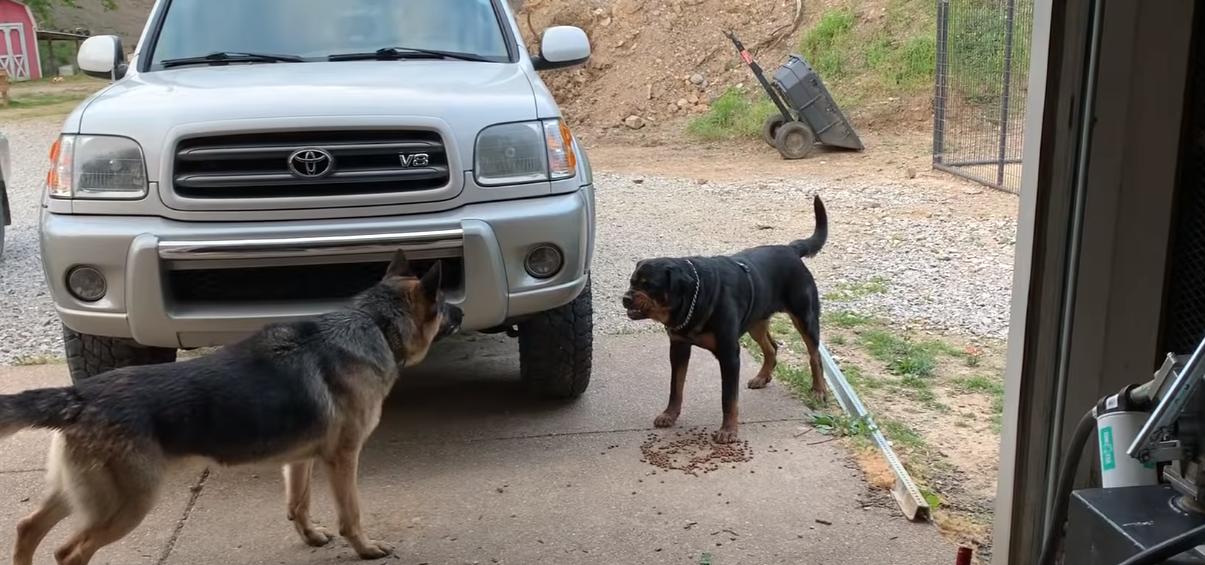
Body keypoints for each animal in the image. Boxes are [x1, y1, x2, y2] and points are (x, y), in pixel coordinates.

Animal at [0, 249, 460, 563]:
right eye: (442, 305)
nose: (459, 311)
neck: (373, 324)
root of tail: (78, 396)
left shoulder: (300, 459)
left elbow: (298, 503)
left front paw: (309, 536)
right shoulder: (343, 458)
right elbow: (352, 514)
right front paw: (364, 547)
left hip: (79, 492)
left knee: (27, 528)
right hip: (127, 503)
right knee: (69, 552)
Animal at [621, 196, 829, 443]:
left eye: (649, 285)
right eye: (632, 282)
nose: (625, 298)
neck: (695, 298)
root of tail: (790, 249)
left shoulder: (729, 354)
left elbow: (728, 398)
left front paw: (728, 430)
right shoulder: (679, 347)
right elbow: (676, 386)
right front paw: (669, 415)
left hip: (805, 317)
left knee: (814, 355)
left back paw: (819, 390)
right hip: (756, 321)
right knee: (771, 347)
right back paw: (762, 377)